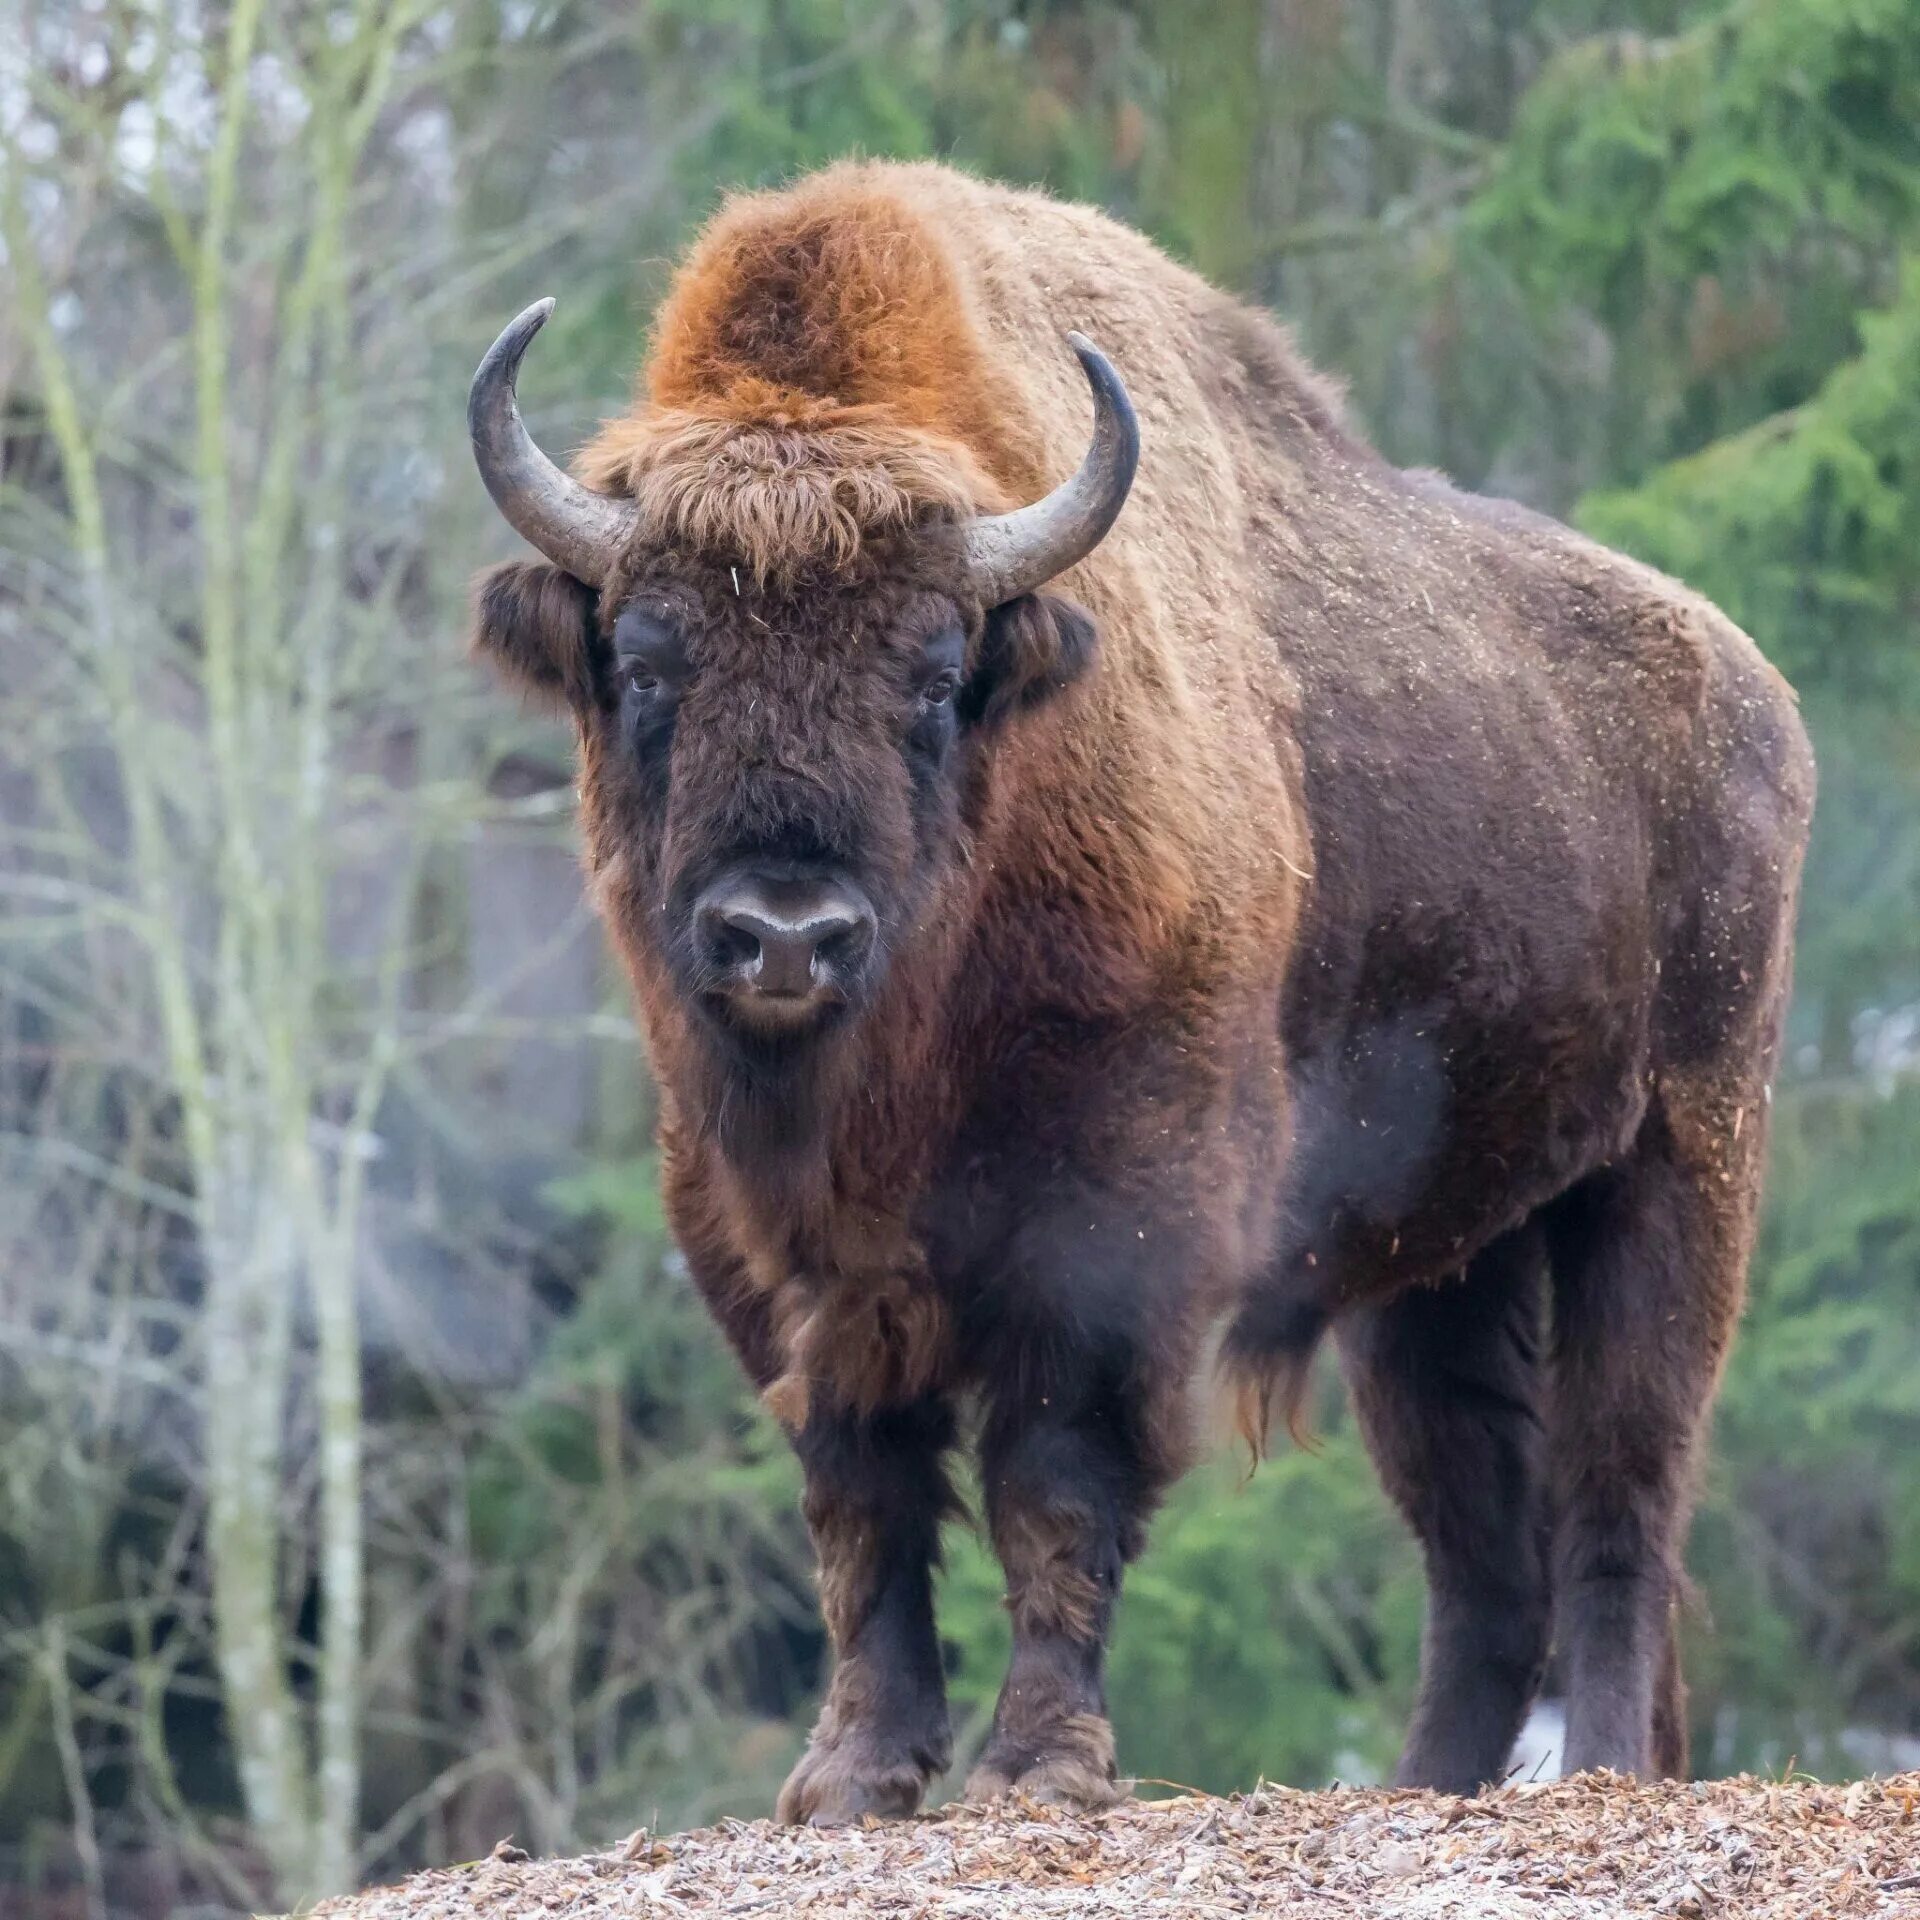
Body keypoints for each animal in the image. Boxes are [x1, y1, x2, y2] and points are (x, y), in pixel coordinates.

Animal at [464, 161, 1812, 1812]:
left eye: (932, 674)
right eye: (651, 661)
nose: (784, 935)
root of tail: (1753, 692)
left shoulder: (1113, 1221)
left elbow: (1055, 1476)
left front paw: (1039, 1766)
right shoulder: (762, 1241)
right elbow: (862, 1494)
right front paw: (855, 1775)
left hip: (1678, 1168)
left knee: (1620, 1494)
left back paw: (1603, 1769)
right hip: (1442, 1264)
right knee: (1482, 1549)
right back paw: (1419, 1786)